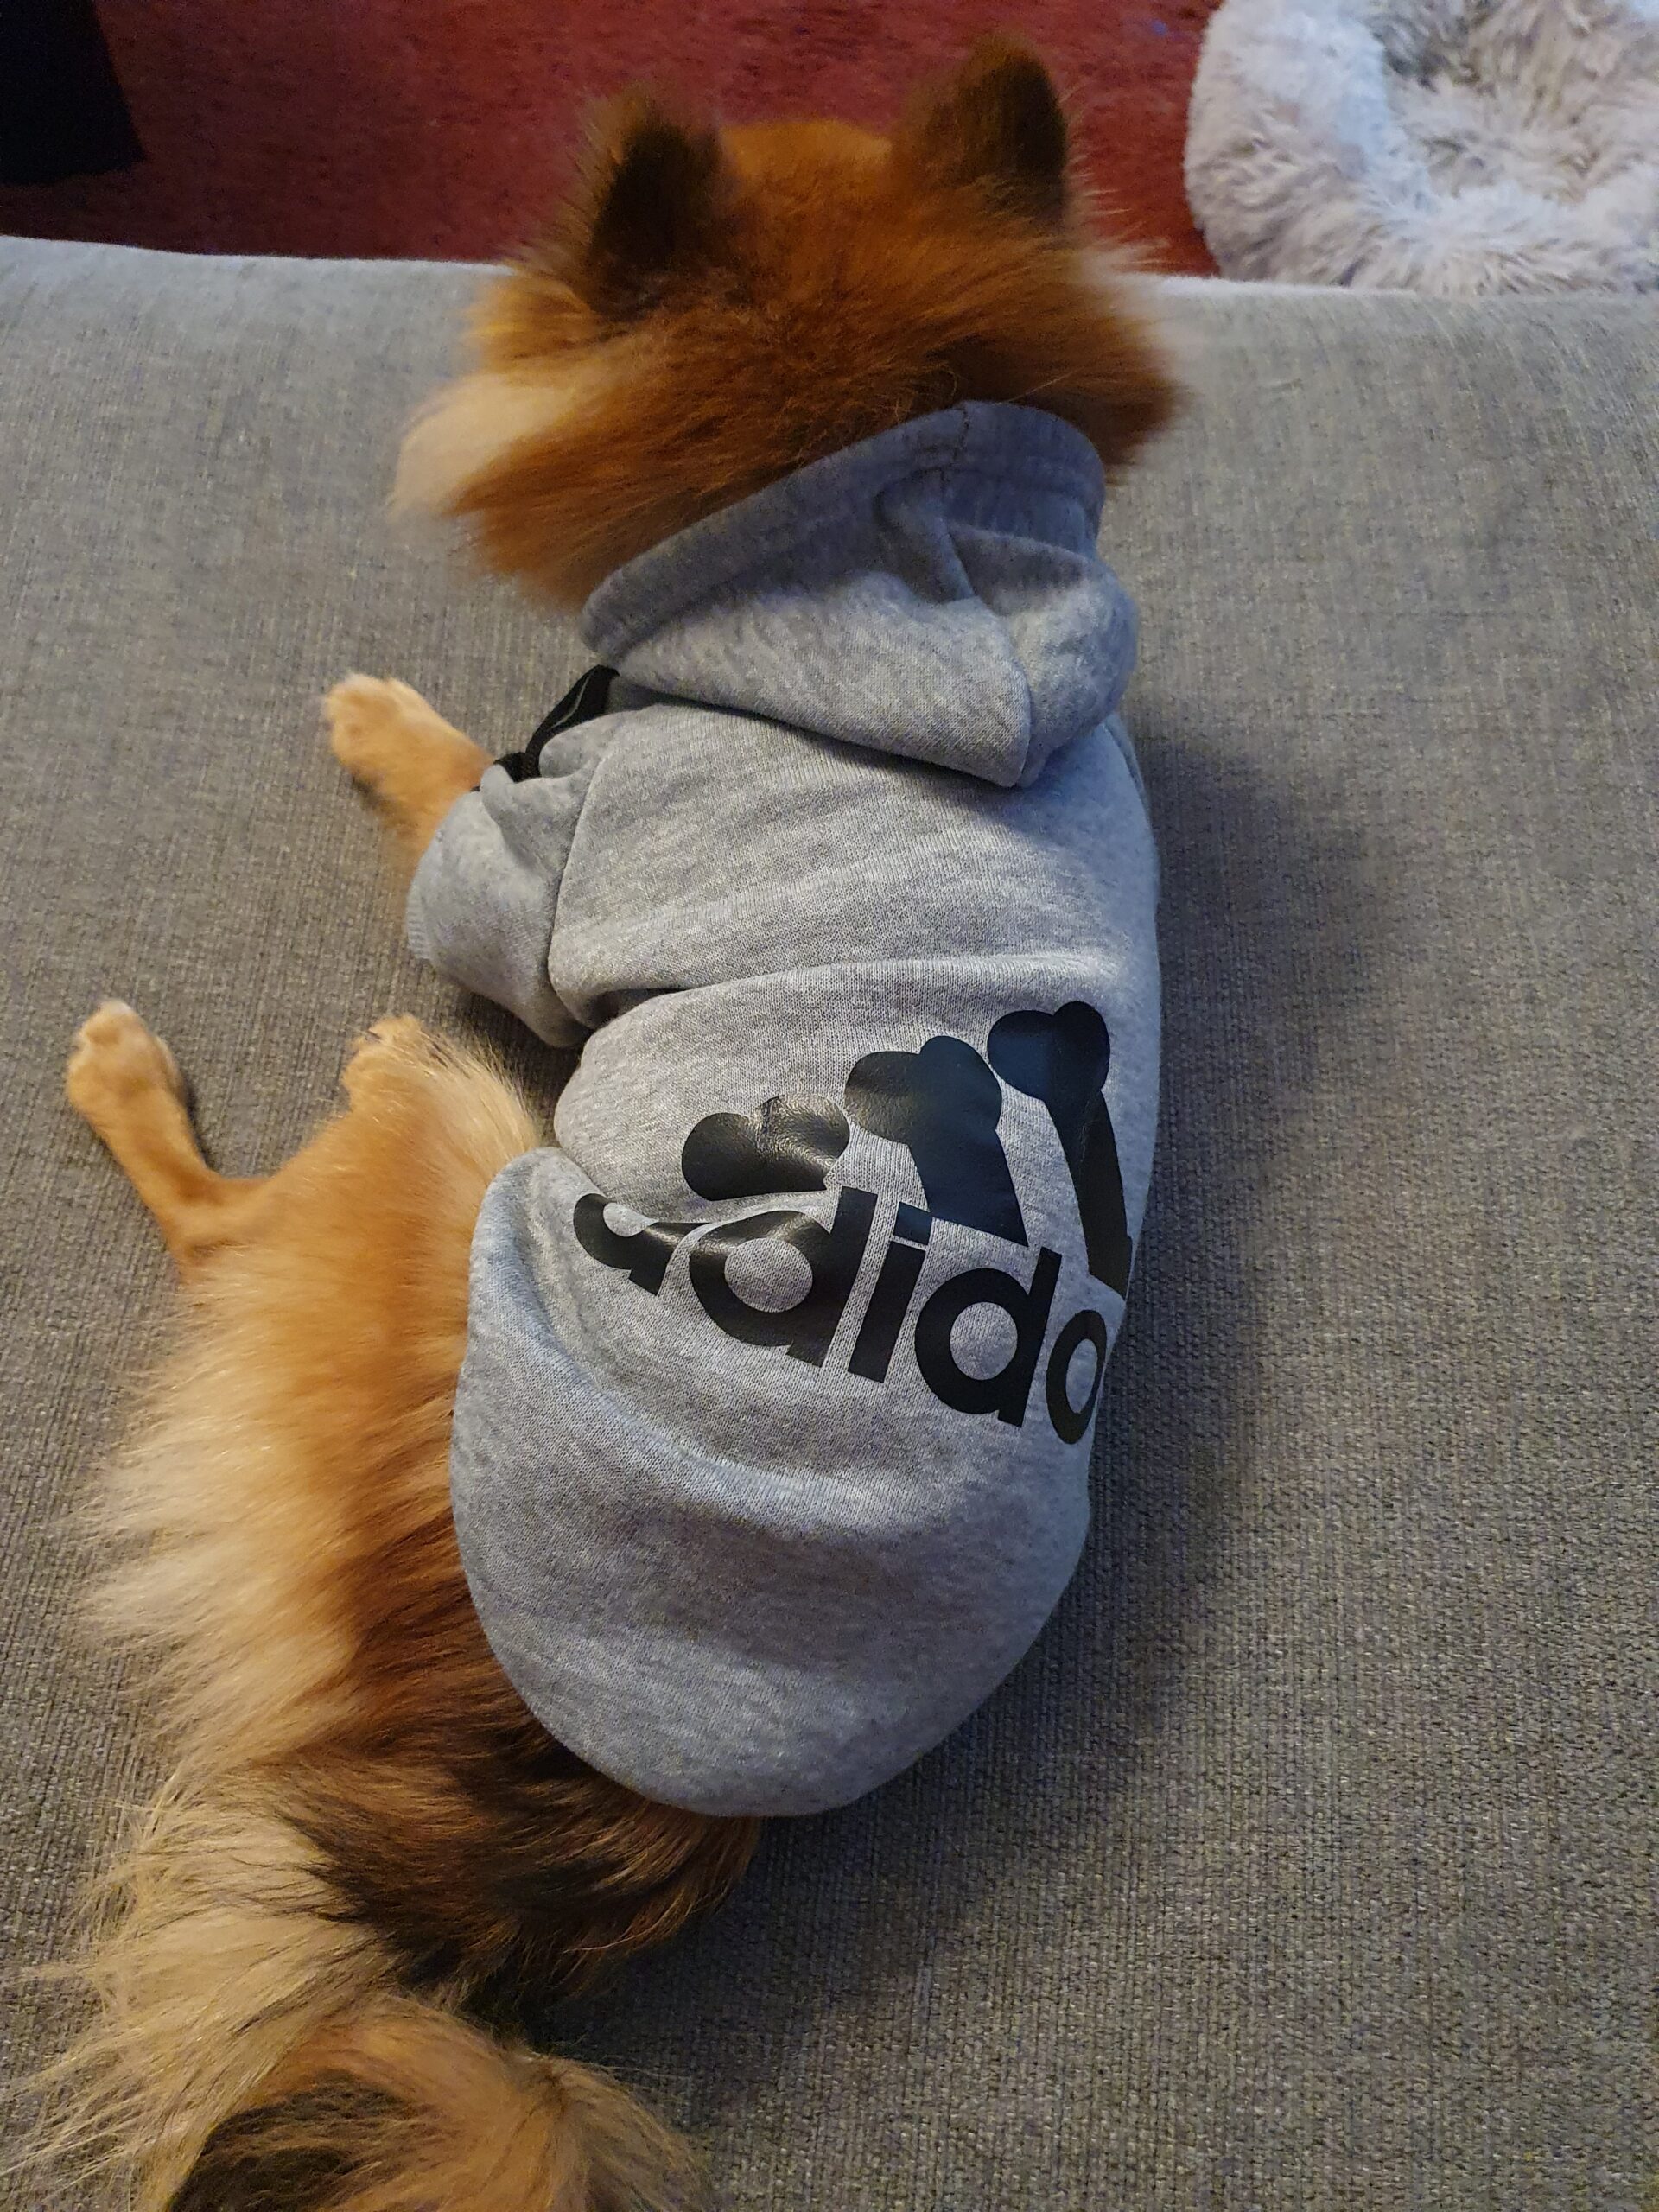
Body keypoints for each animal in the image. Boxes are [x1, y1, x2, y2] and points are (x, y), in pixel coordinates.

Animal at [49, 41, 1175, 2212]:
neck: (897, 522)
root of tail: (588, 1820)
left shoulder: (534, 852)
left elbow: (457, 789)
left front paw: (383, 717)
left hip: (456, 1149)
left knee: (242, 1215)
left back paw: (149, 1071)